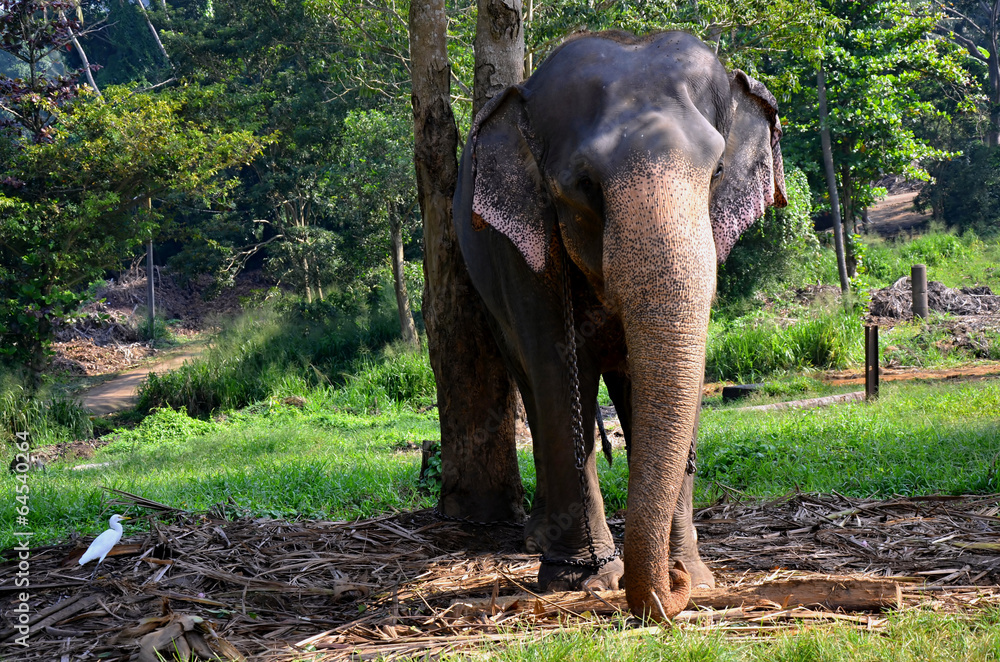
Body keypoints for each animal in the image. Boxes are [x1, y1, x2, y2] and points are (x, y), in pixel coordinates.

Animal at [452, 30, 786, 620]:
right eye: (584, 183)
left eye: (717, 173)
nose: (672, 584)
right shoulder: (524, 254)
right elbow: (558, 371)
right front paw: (581, 579)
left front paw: (694, 575)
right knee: (532, 386)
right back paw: (538, 540)